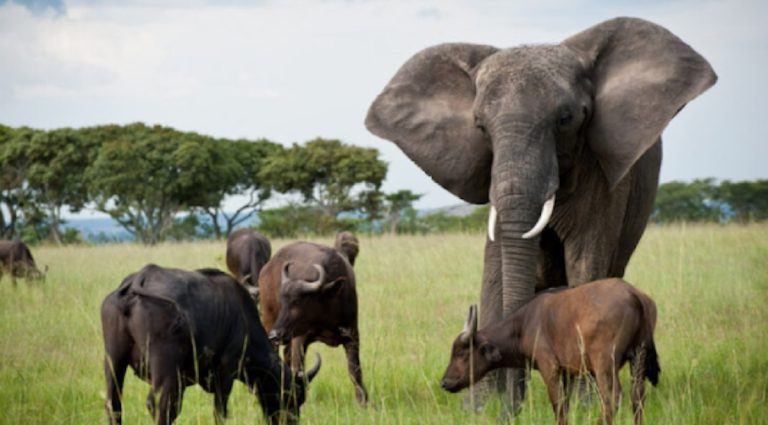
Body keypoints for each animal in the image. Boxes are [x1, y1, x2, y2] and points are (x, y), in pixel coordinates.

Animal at [101, 264, 320, 425]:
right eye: (295, 397)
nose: (292, 420)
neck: (244, 320)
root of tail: (137, 280)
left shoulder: (182, 382)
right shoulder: (226, 372)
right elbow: (219, 412)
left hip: (114, 361)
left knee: (114, 405)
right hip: (164, 368)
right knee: (158, 405)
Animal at [259, 241, 368, 405]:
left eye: (298, 301)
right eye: (283, 302)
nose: (275, 334)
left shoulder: (352, 335)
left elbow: (354, 371)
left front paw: (363, 401)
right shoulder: (299, 340)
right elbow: (298, 370)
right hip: (269, 322)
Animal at [365, 17, 716, 414]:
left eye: (565, 119)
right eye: (480, 126)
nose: (513, 408)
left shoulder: (601, 176)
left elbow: (586, 262)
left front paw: (583, 406)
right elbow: (494, 274)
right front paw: (481, 411)